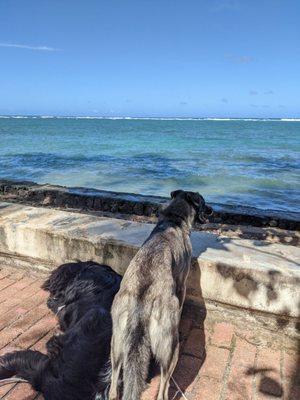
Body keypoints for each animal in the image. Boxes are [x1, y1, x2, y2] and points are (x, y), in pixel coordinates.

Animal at [109, 190, 212, 400]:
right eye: (204, 203)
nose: (213, 211)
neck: (173, 220)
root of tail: (140, 305)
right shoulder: (181, 283)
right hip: (170, 349)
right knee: (163, 390)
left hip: (116, 345)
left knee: (113, 389)